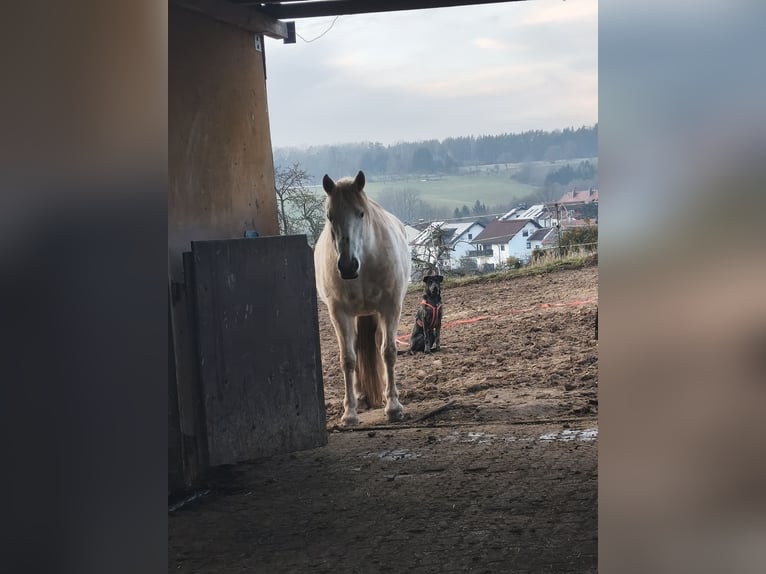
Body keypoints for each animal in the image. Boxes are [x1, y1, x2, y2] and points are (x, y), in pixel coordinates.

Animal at [314, 170, 412, 427]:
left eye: (361, 213)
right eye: (330, 216)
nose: (347, 266)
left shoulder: (390, 307)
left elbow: (388, 352)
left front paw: (393, 407)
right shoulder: (340, 314)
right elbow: (348, 359)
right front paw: (349, 413)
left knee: (380, 344)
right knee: (357, 348)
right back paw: (359, 396)